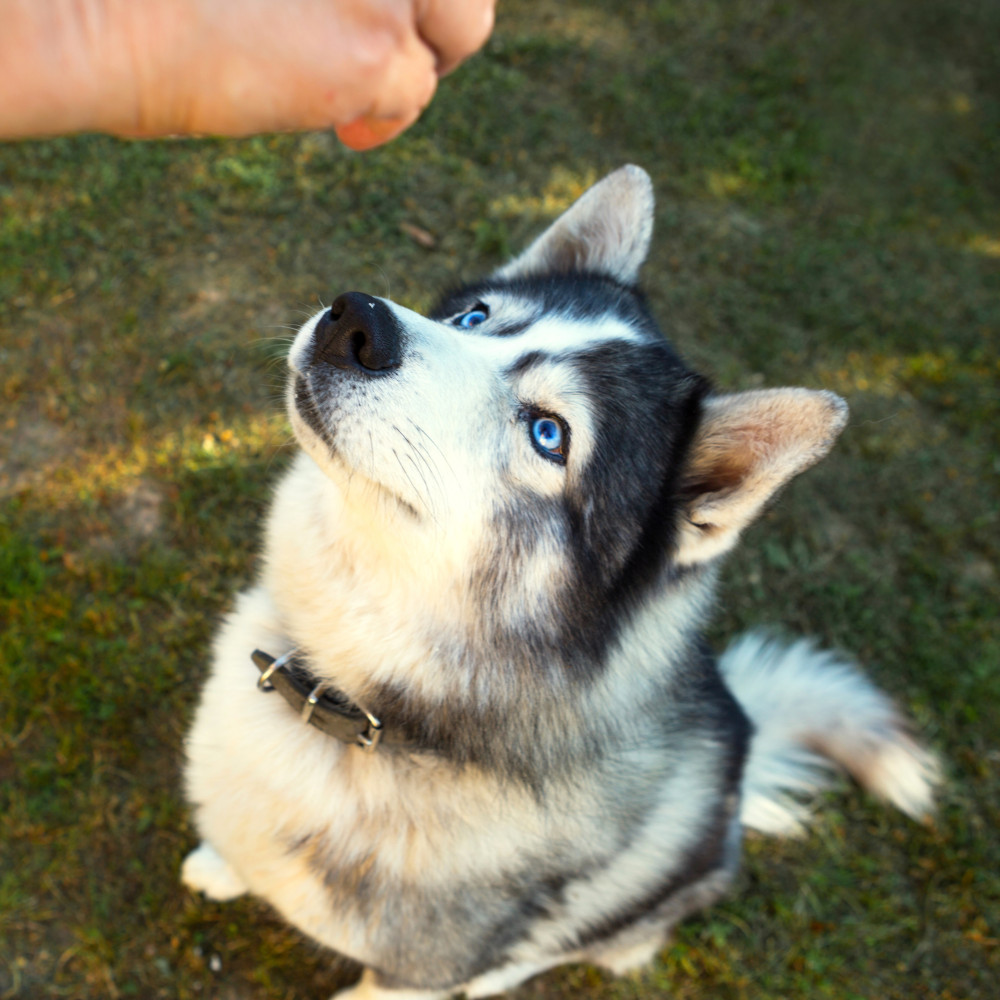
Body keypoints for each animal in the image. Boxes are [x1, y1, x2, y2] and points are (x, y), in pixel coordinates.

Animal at [184, 166, 940, 1000]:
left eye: (550, 434)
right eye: (474, 316)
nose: (357, 319)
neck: (355, 706)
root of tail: (746, 735)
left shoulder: (412, 975)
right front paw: (223, 865)